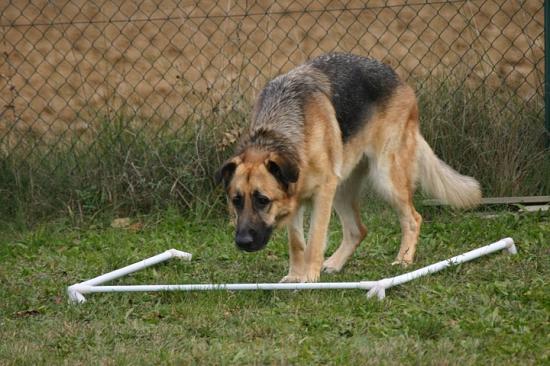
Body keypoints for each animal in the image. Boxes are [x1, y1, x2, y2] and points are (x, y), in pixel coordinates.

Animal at [217, 53, 484, 284]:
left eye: (262, 200)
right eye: (236, 200)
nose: (242, 242)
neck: (277, 134)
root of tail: (397, 77)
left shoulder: (322, 193)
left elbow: (314, 241)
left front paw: (309, 278)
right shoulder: (295, 198)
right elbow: (296, 243)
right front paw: (295, 275)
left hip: (385, 178)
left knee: (413, 218)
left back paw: (404, 260)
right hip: (342, 188)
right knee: (358, 230)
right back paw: (336, 263)